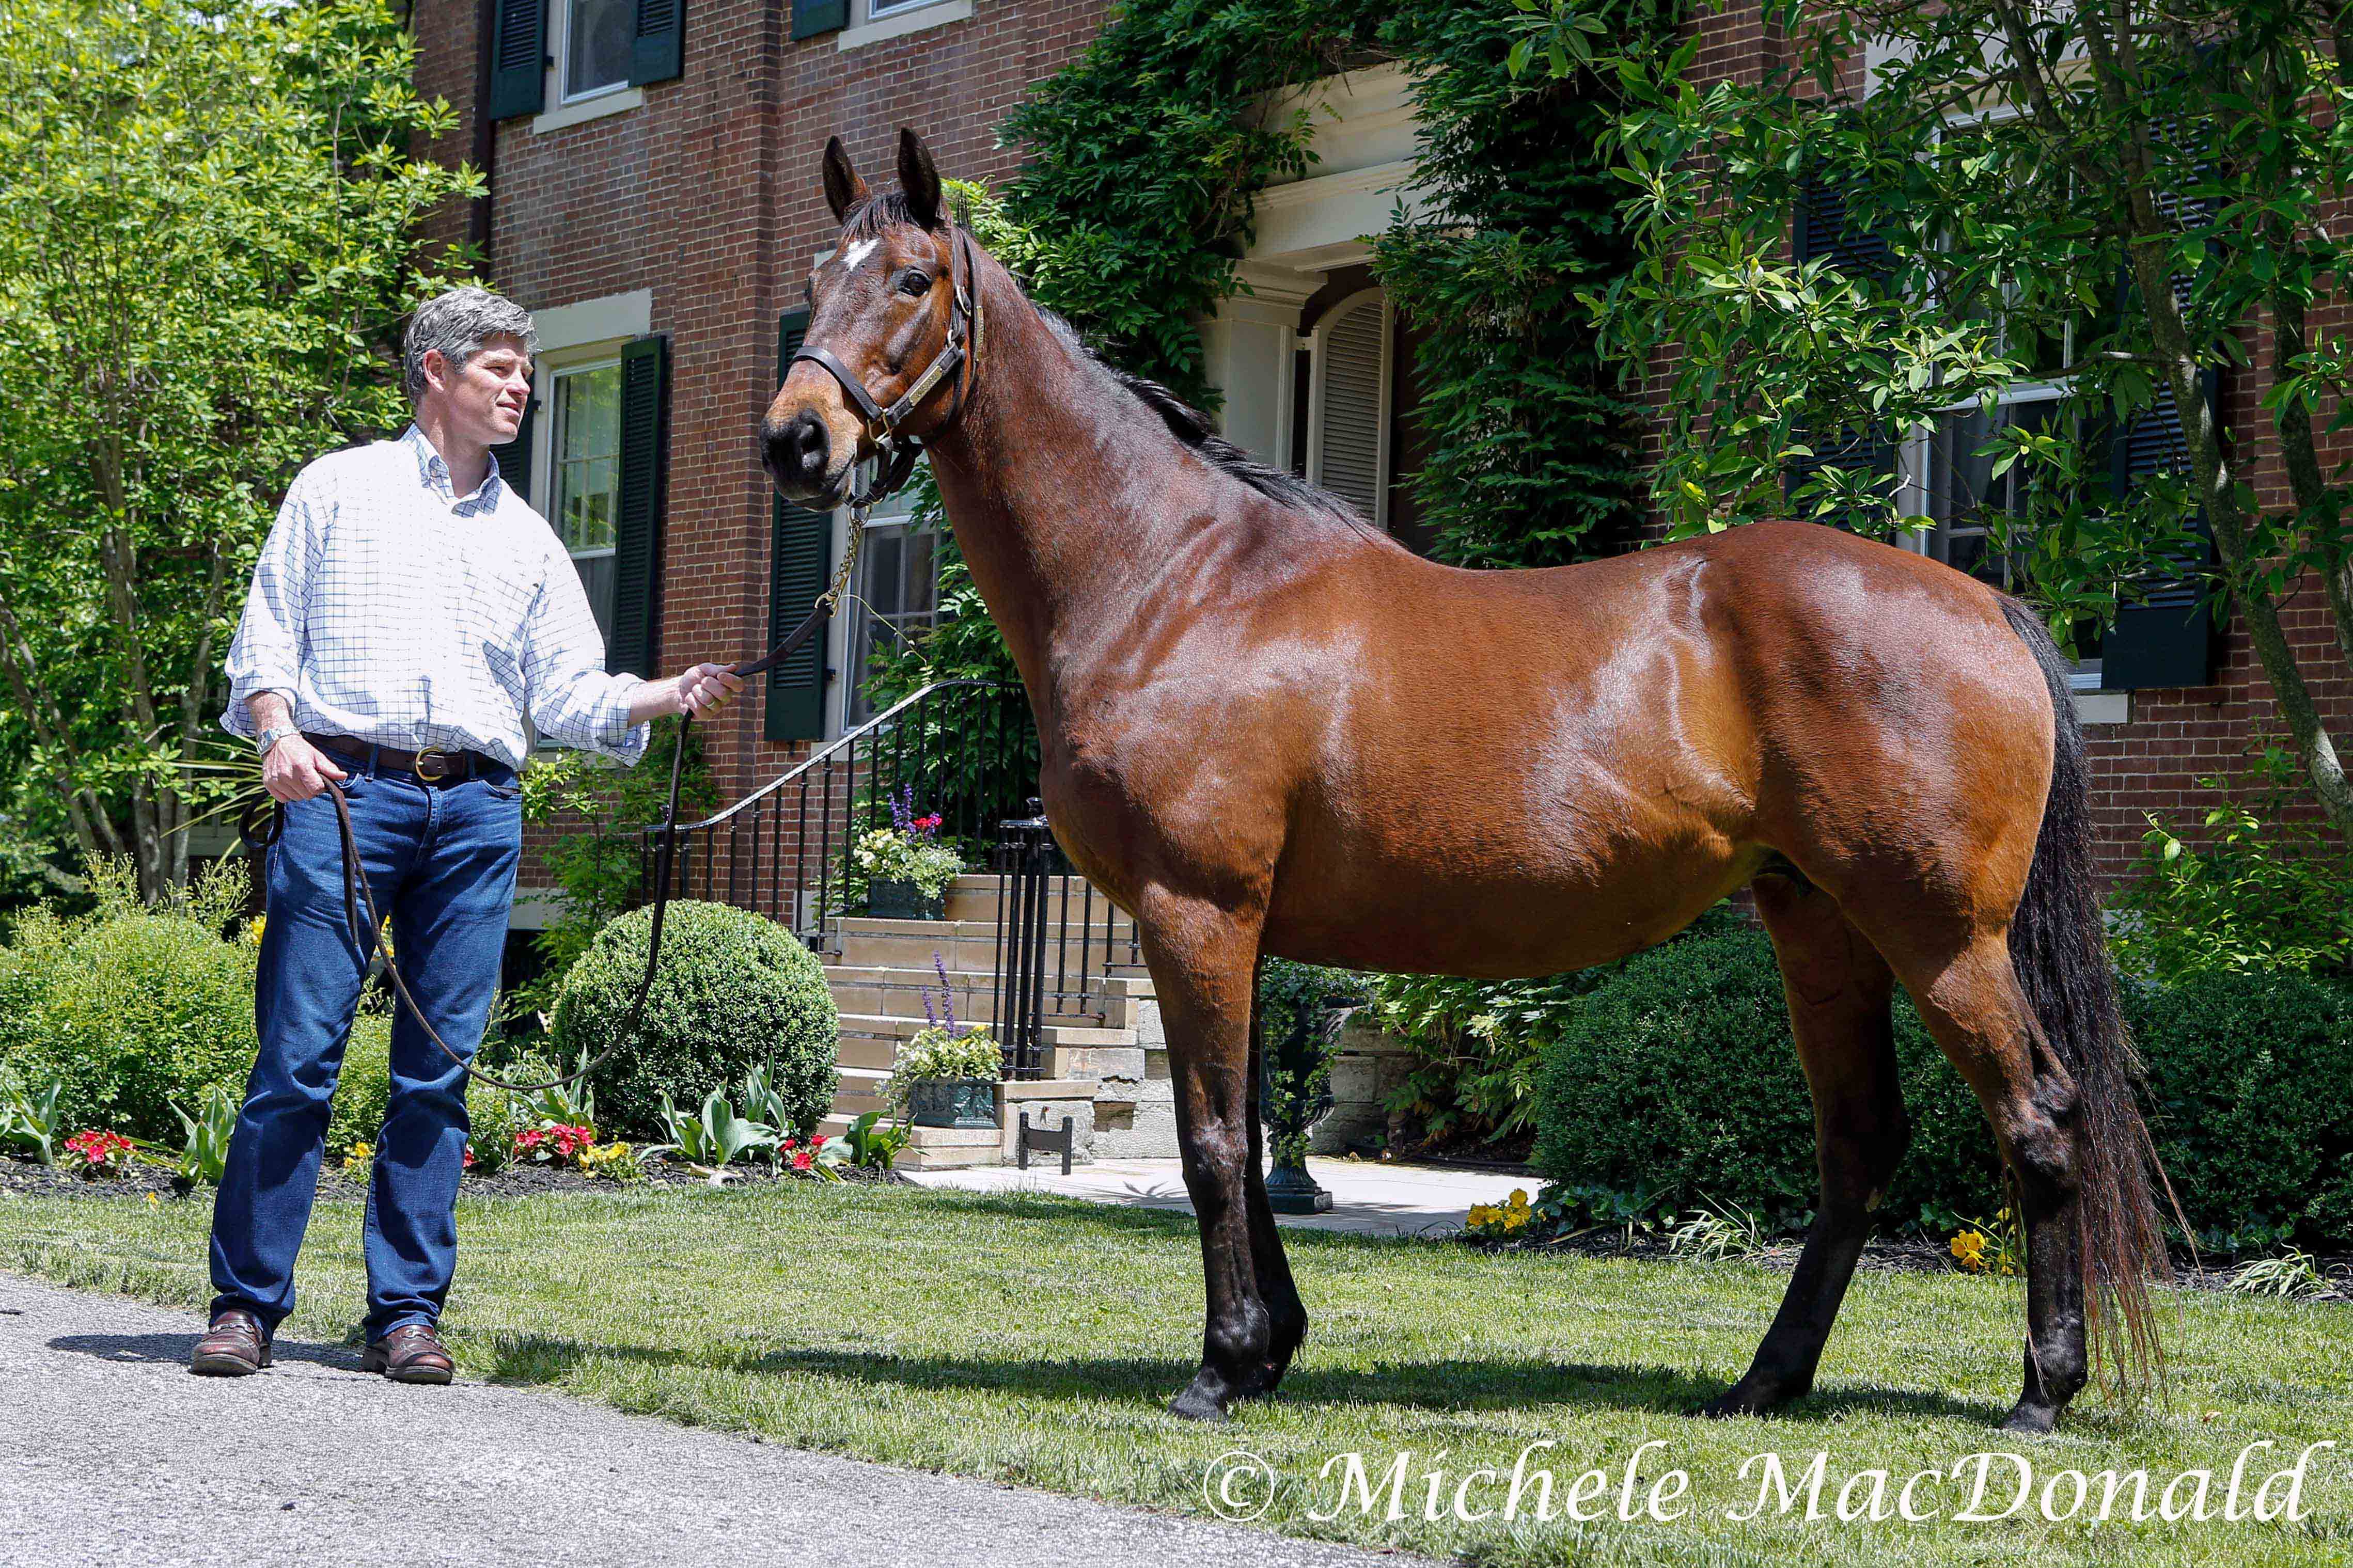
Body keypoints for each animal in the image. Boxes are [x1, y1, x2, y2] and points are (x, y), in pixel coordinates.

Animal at [762, 131, 2155, 1438]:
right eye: (813, 281)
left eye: (910, 279)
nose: (796, 440)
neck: (1171, 578)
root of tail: (1985, 602)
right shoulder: (1236, 929)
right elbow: (1250, 1136)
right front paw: (1269, 1348)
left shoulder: (1194, 910)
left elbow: (1209, 1143)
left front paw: (1219, 1368)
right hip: (1817, 923)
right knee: (1858, 1142)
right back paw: (1764, 1379)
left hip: (1939, 936)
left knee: (2038, 1119)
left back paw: (2040, 1390)